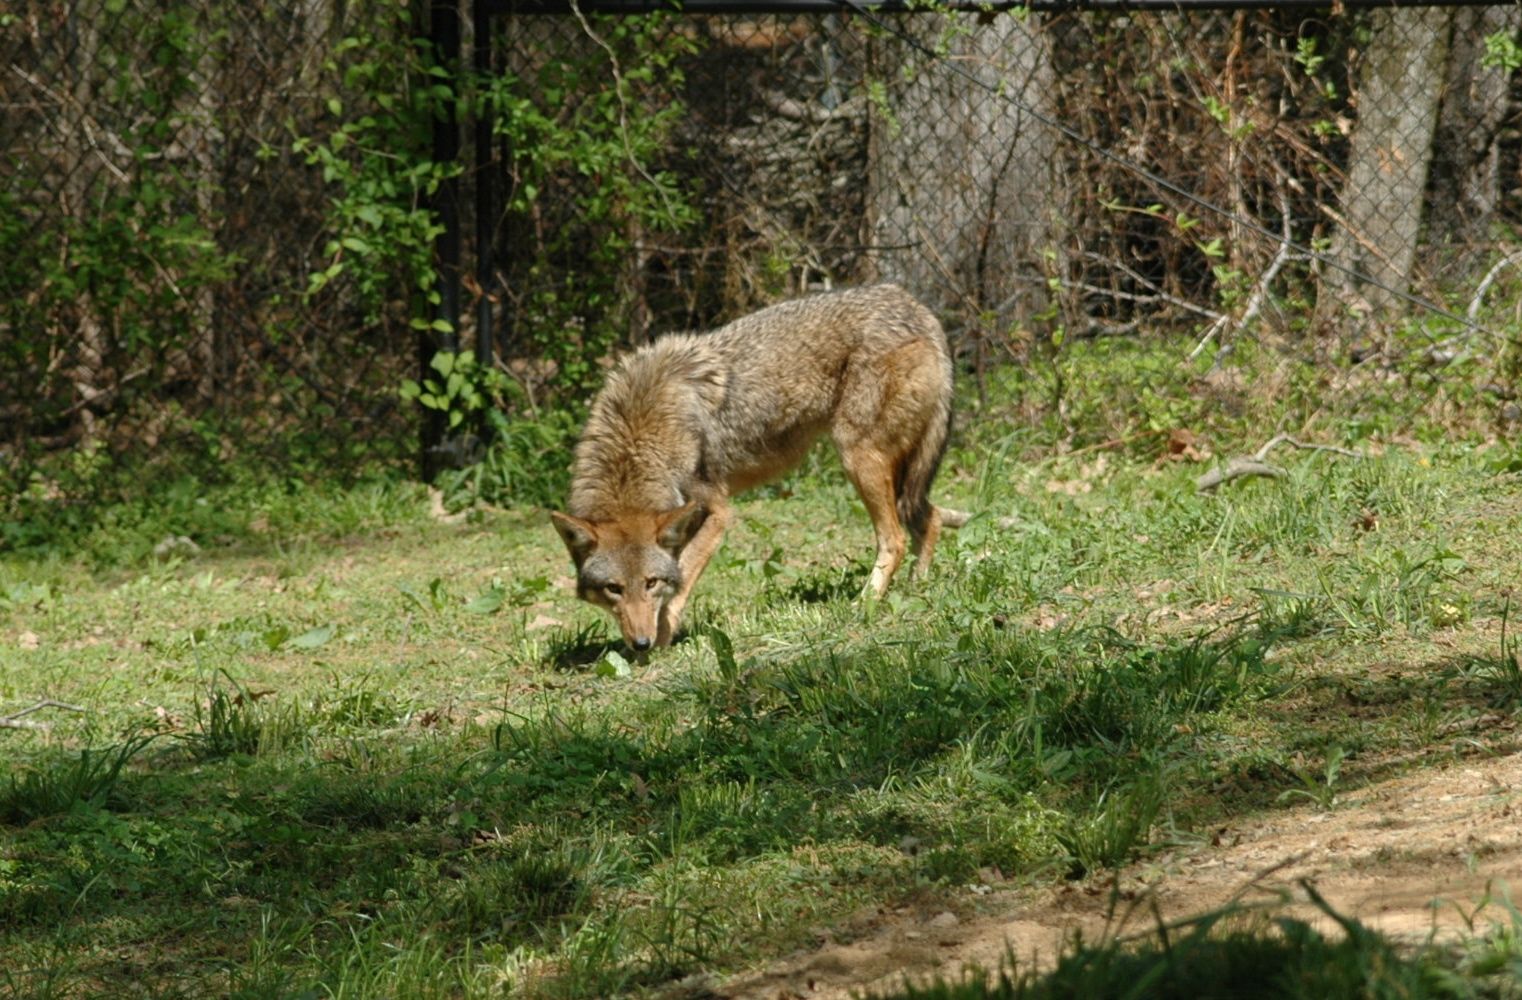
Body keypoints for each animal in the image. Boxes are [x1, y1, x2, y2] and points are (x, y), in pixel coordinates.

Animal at [554, 284, 967, 651]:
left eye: (651, 583)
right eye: (614, 589)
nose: (639, 643)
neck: (642, 440)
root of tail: (917, 307)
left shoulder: (717, 512)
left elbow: (683, 577)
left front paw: (663, 637)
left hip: (858, 460)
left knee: (894, 539)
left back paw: (864, 603)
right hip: (899, 474)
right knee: (928, 519)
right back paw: (917, 587)